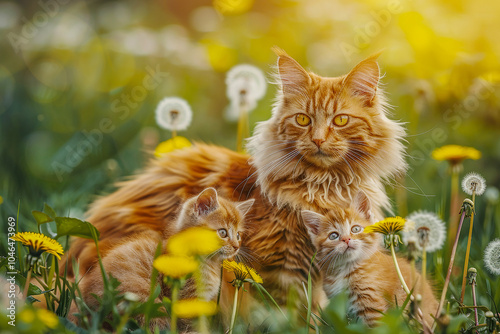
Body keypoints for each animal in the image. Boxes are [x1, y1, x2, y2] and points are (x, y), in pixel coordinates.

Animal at [77, 188, 254, 332]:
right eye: (223, 232)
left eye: (238, 235)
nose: (236, 246)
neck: (207, 262)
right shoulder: (187, 301)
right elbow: (193, 327)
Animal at [300, 193, 438, 326]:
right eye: (333, 236)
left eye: (355, 229)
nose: (346, 239)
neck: (346, 268)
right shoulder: (339, 304)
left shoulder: (371, 303)